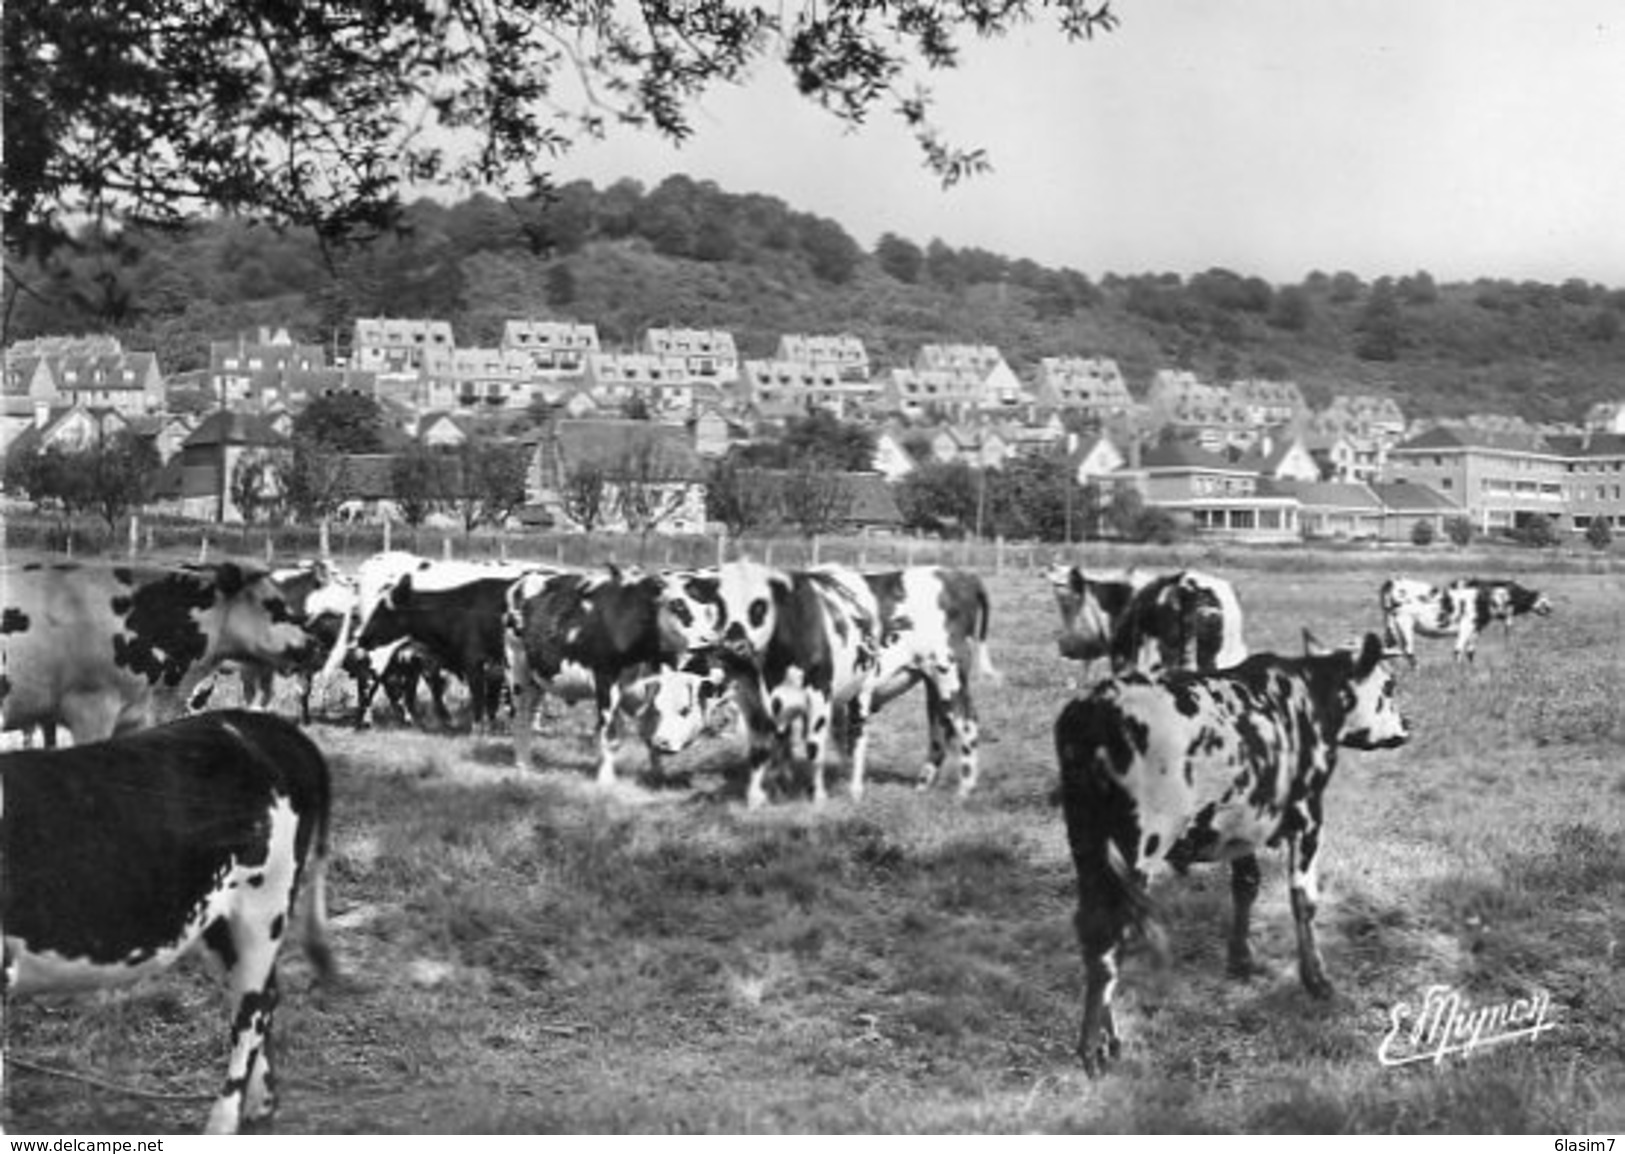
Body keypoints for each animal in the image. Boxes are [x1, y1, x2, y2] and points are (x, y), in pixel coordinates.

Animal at [0, 708, 336, 1137]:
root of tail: (263, 722)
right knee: (263, 996)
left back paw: (223, 1122)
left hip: (263, 906)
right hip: (219, 923)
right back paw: (260, 1105)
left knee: (253, 1008)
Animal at [1053, 633, 1410, 1072]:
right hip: (1136, 848)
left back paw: (1106, 1039)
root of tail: (1092, 710)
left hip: (1088, 847)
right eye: (1389, 685)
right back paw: (1094, 1046)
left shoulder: (1243, 826)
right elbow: (1304, 902)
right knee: (1109, 934)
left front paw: (1241, 958)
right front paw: (1316, 980)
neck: (1308, 693)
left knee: (1093, 931)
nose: (1407, 726)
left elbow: (1246, 885)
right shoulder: (1309, 817)